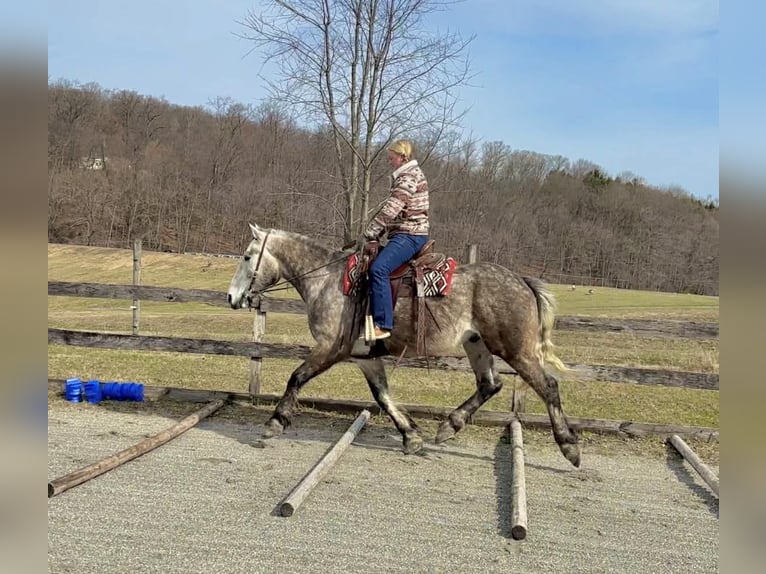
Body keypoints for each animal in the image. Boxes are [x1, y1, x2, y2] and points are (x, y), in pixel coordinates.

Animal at [227, 223, 581, 467]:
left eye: (247, 256)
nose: (232, 297)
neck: (328, 281)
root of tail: (522, 281)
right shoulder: (365, 357)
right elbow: (383, 396)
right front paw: (411, 435)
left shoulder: (330, 349)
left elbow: (296, 377)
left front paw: (275, 422)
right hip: (476, 345)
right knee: (489, 384)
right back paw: (449, 426)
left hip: (516, 351)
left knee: (548, 386)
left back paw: (568, 446)